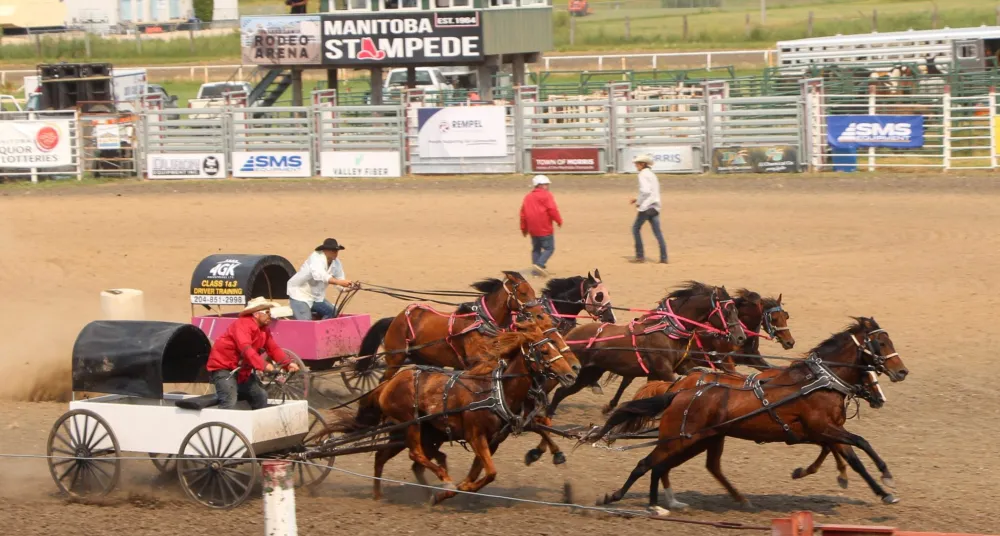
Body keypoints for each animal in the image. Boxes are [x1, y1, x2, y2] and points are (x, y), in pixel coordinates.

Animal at [334, 321, 579, 504]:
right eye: (544, 350)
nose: (571, 374)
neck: (496, 391)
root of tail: (389, 383)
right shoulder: (475, 436)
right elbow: (490, 472)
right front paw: (452, 489)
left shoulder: (494, 440)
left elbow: (480, 472)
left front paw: (460, 487)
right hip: (411, 424)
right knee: (415, 455)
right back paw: (443, 481)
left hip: (413, 433)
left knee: (386, 456)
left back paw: (382, 494)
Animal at [546, 282, 747, 418]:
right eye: (726, 311)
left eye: (736, 310)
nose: (740, 337)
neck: (667, 329)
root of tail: (570, 335)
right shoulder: (664, 370)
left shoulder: (678, 367)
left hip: (589, 373)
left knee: (560, 393)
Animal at [586, 317, 909, 515]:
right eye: (881, 343)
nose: (902, 371)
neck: (819, 382)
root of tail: (679, 392)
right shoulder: (824, 428)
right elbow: (862, 443)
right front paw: (887, 475)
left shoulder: (827, 432)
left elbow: (853, 459)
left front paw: (882, 492)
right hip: (679, 439)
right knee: (646, 464)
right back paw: (620, 499)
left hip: (697, 440)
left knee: (668, 466)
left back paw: (666, 503)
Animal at [598, 289, 795, 415]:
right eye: (774, 318)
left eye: (786, 316)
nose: (790, 342)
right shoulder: (724, 362)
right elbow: (739, 378)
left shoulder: (752, 359)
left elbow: (771, 370)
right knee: (627, 380)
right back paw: (611, 406)